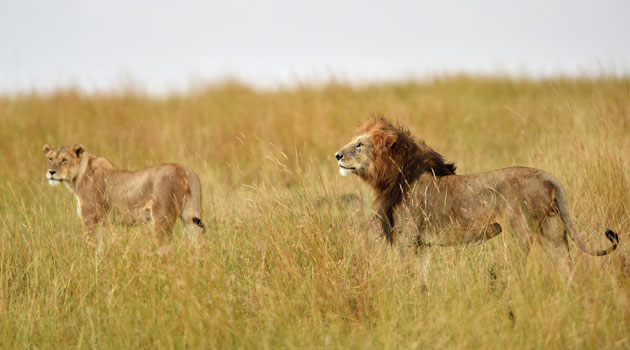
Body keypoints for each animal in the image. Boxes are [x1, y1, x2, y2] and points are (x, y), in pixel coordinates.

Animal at [43, 144, 206, 241]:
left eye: (64, 160)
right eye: (50, 159)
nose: (51, 172)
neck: (77, 177)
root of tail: (187, 170)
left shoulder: (89, 217)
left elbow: (89, 244)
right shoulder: (102, 222)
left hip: (162, 218)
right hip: (189, 217)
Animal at [336, 119, 624, 262]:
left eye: (359, 145)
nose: (337, 155)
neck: (393, 176)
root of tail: (546, 175)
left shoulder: (407, 240)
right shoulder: (422, 245)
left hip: (519, 233)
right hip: (553, 230)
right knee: (565, 268)